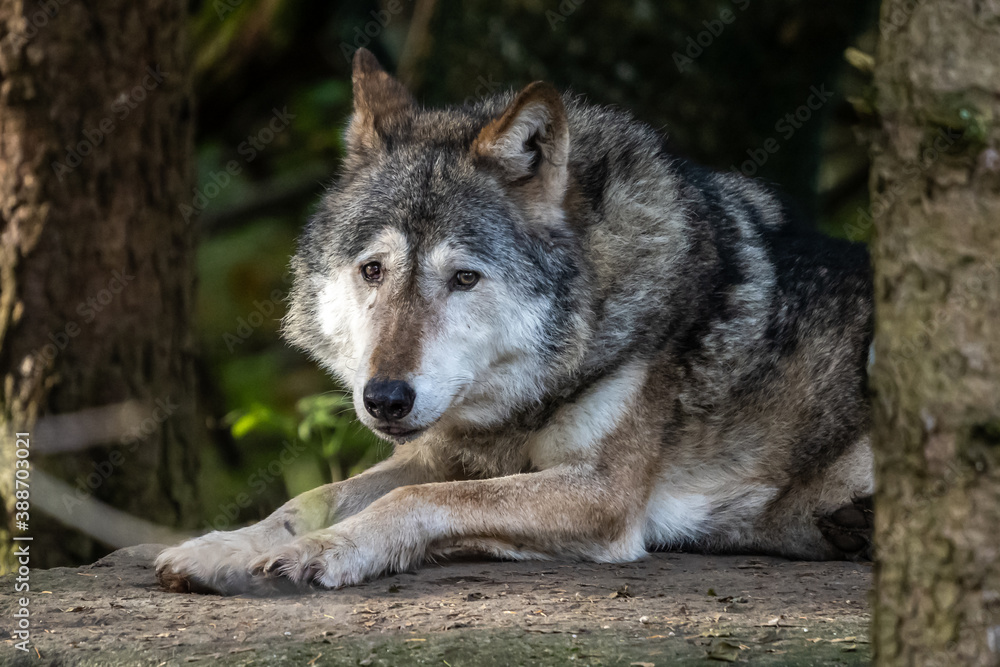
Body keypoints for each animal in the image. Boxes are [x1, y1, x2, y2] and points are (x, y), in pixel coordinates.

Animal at [156, 49, 876, 596]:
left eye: (464, 278)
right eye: (373, 270)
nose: (384, 398)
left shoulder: (602, 493)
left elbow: (416, 502)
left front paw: (324, 551)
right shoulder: (433, 453)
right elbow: (312, 497)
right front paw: (220, 547)